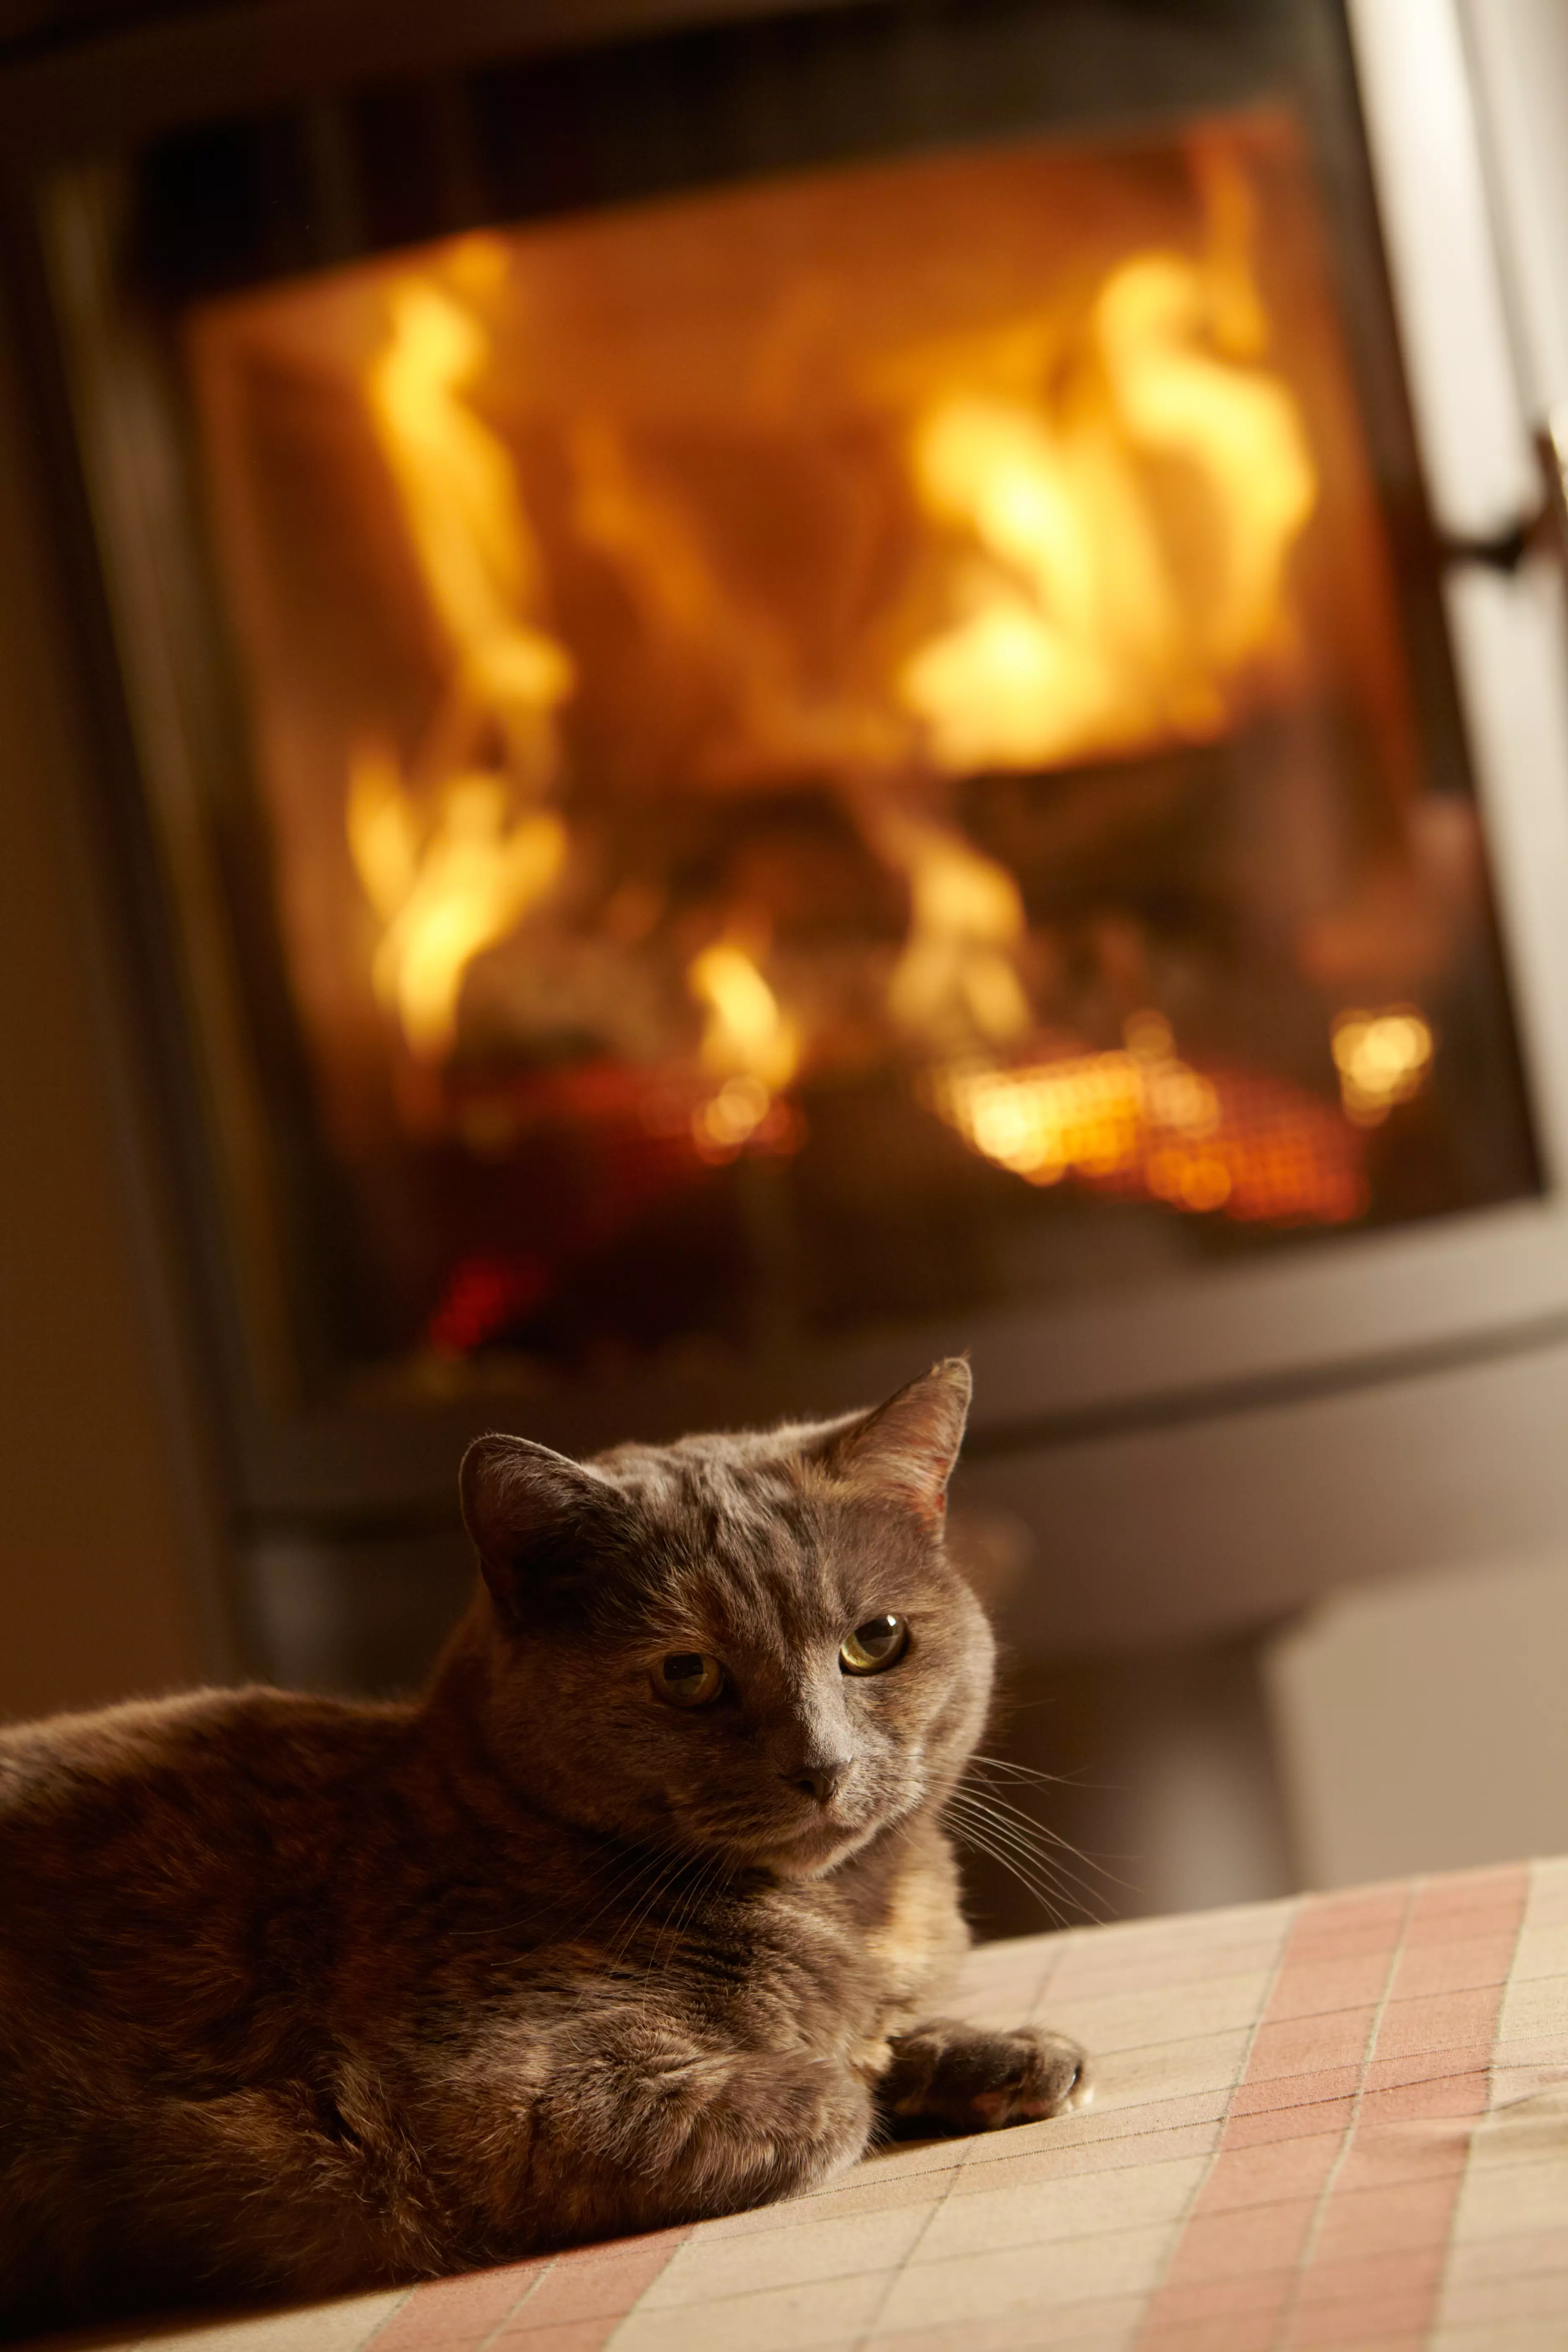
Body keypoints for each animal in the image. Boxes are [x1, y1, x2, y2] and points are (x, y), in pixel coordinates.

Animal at [0, 1364, 1091, 2333]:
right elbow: (826, 2088)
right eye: (688, 1674)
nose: (824, 1764)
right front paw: (886, 2063)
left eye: (877, 1639)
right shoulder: (502, 2098)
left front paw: (998, 2050)